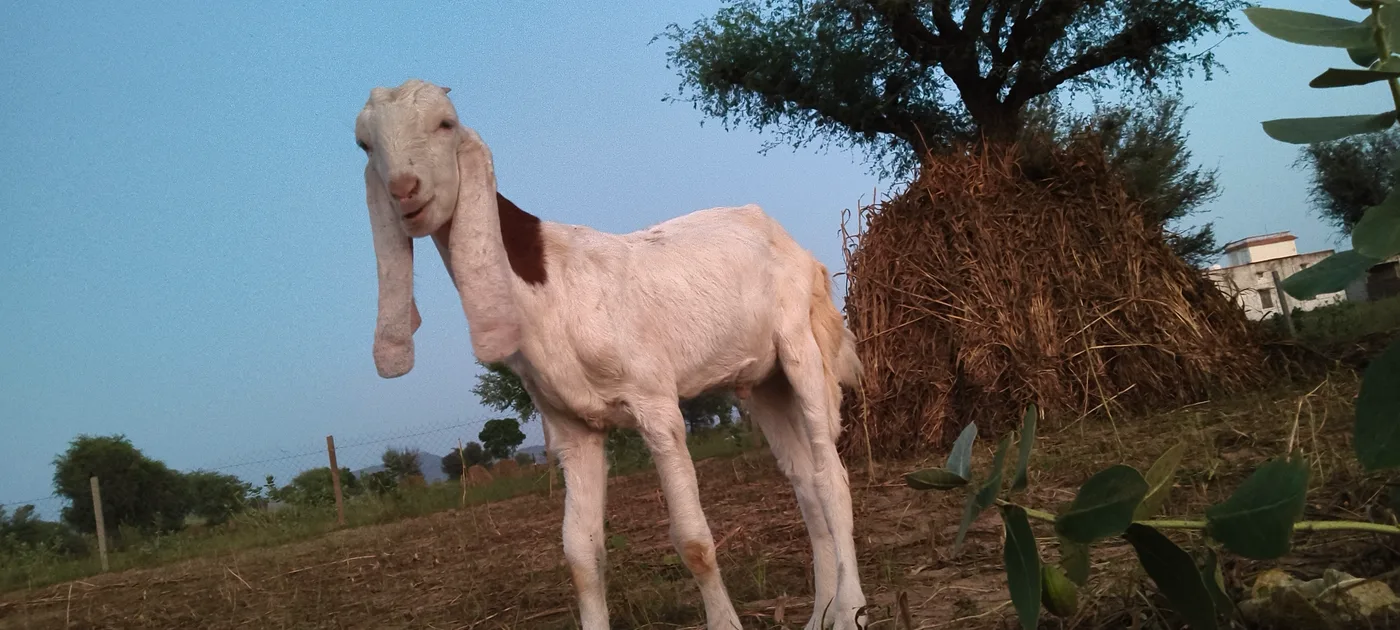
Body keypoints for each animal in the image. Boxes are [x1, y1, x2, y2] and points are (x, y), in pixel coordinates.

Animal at [354, 79, 868, 630]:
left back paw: (851, 609)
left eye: (445, 124)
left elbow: (693, 541)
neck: (549, 283)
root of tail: (797, 250)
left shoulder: (655, 402)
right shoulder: (572, 426)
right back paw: (821, 613)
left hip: (800, 344)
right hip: (764, 382)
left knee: (831, 478)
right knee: (804, 484)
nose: (404, 190)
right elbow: (581, 555)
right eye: (365, 145)